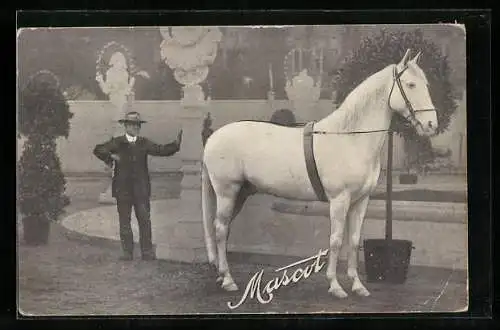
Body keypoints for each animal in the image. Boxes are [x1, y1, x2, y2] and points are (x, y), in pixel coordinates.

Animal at [199, 49, 438, 300]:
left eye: (426, 84)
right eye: (410, 84)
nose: (431, 125)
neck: (350, 137)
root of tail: (213, 137)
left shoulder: (361, 200)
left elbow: (354, 241)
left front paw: (358, 285)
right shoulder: (339, 200)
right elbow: (336, 240)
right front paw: (335, 285)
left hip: (241, 194)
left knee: (222, 229)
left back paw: (221, 275)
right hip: (227, 192)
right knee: (220, 229)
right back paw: (228, 280)